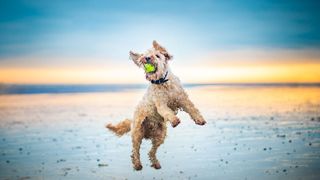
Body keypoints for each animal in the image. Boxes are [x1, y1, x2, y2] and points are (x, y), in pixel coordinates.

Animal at [107, 40, 208, 170]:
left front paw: (199, 119)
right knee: (135, 150)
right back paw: (137, 164)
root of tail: (148, 133)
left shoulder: (183, 99)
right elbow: (167, 112)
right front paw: (174, 120)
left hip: (161, 135)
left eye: (158, 55)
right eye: (145, 55)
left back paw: (155, 163)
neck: (163, 82)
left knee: (151, 152)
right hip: (137, 132)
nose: (147, 58)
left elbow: (192, 109)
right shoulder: (161, 104)